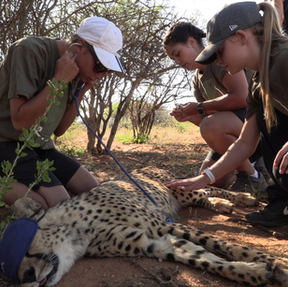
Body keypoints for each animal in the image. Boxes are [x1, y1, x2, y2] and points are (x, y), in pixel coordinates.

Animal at [3, 166, 288, 287]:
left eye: (26, 249)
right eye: (13, 275)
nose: (27, 277)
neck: (78, 231)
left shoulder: (165, 226)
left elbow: (224, 244)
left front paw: (277, 263)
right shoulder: (154, 243)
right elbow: (207, 260)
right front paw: (259, 273)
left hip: (180, 190)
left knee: (204, 185)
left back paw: (243, 198)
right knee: (205, 195)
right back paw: (225, 203)